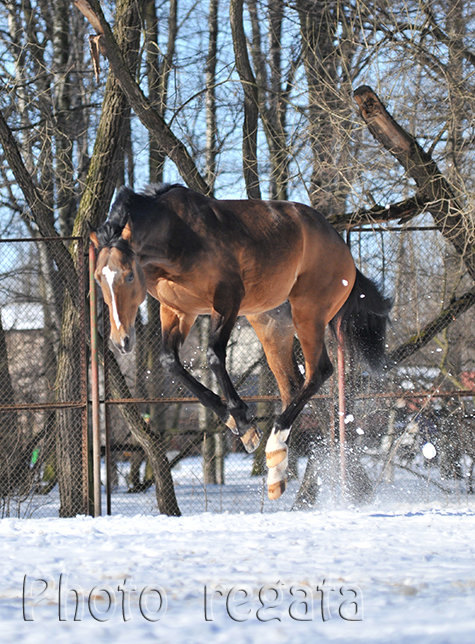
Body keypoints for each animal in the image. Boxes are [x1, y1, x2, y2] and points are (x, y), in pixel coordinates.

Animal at [90, 184, 390, 500]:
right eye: (98, 278)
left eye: (129, 275)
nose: (121, 340)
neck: (177, 235)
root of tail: (343, 251)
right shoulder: (177, 311)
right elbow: (170, 362)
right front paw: (235, 421)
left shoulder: (227, 300)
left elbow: (213, 356)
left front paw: (245, 424)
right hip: (271, 325)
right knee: (292, 386)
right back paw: (276, 471)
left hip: (308, 314)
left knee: (319, 371)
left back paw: (273, 445)